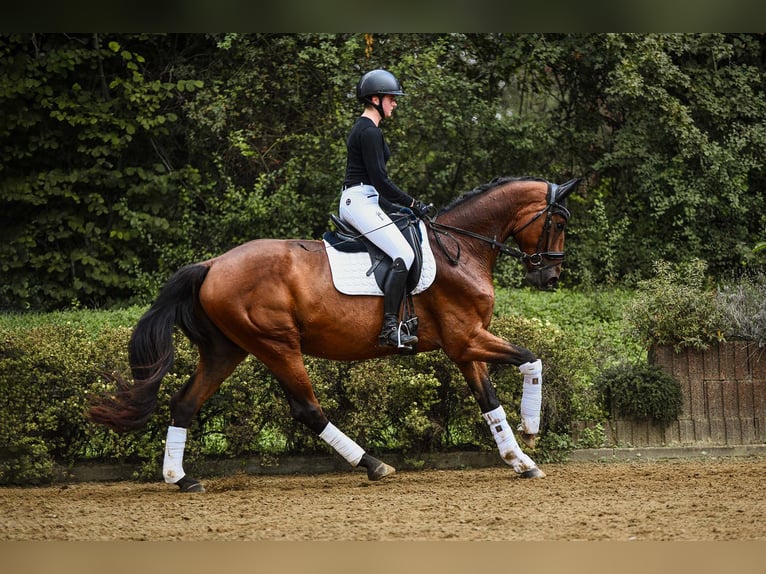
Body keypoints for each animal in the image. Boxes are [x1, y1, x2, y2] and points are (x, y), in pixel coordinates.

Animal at [88, 177, 584, 496]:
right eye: (559, 223)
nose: (550, 276)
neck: (461, 249)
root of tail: (211, 265)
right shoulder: (467, 338)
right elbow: (532, 358)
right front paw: (532, 431)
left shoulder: (464, 345)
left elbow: (488, 401)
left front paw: (520, 459)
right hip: (277, 345)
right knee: (307, 409)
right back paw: (373, 464)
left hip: (226, 350)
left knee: (185, 403)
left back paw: (181, 479)